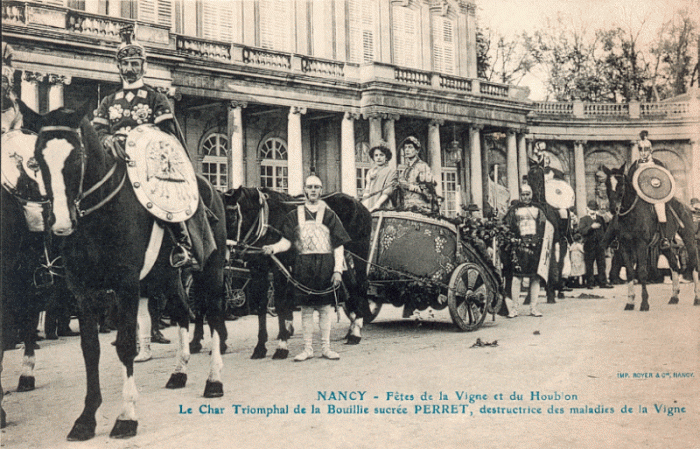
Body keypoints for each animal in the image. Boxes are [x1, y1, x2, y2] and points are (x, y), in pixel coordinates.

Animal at [19, 100, 227, 440]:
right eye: (37, 159)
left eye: (77, 156)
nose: (61, 224)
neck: (99, 216)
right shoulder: (83, 290)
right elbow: (90, 349)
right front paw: (86, 419)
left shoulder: (127, 285)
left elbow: (126, 344)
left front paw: (127, 416)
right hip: (165, 278)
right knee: (183, 313)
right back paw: (179, 372)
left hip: (211, 270)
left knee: (213, 318)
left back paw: (214, 381)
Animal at [224, 185, 372, 356]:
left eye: (233, 217)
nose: (225, 255)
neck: (267, 220)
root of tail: (358, 203)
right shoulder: (257, 271)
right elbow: (261, 306)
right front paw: (260, 347)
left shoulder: (278, 270)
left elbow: (281, 304)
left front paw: (282, 345)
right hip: (342, 258)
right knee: (351, 287)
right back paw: (353, 328)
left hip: (359, 253)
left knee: (361, 285)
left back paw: (356, 331)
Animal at [600, 164, 700, 308]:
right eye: (607, 184)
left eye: (621, 184)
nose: (614, 209)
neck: (631, 216)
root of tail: (685, 205)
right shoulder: (624, 247)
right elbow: (630, 272)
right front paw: (630, 302)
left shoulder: (641, 245)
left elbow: (642, 272)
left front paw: (644, 303)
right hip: (666, 246)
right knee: (674, 265)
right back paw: (674, 297)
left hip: (689, 239)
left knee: (694, 264)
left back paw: (696, 298)